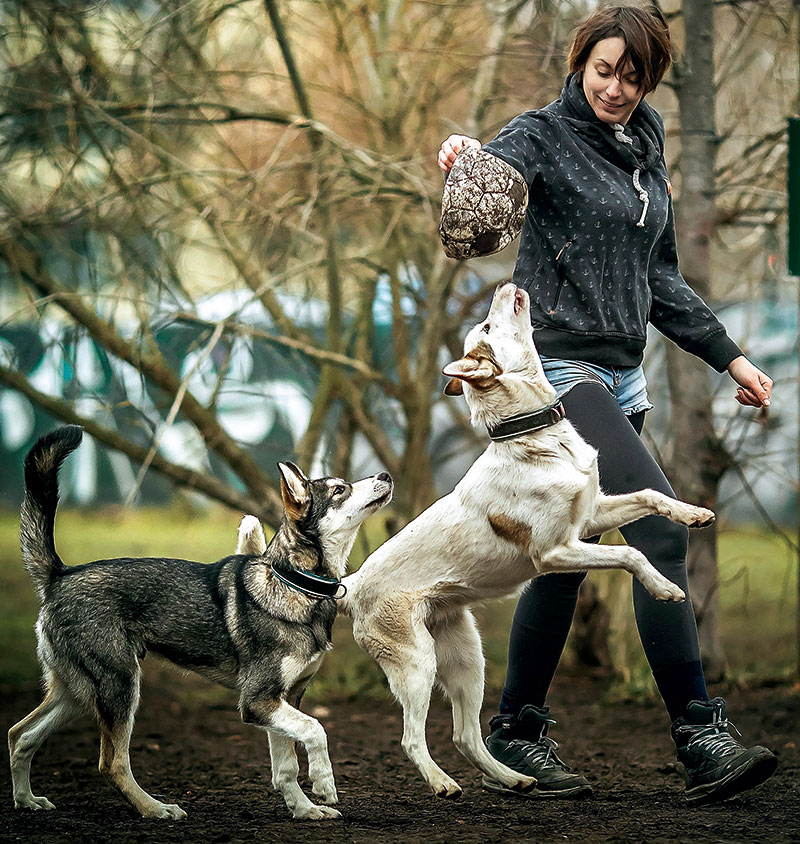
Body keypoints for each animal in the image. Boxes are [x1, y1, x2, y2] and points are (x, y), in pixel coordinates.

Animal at [236, 282, 712, 796]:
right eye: (486, 325)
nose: (507, 284)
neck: (535, 440)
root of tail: (352, 586)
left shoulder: (588, 517)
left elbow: (649, 496)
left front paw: (694, 513)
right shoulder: (555, 551)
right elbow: (631, 551)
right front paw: (665, 588)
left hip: (468, 660)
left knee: (465, 735)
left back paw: (515, 778)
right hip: (418, 665)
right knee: (412, 738)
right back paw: (442, 782)